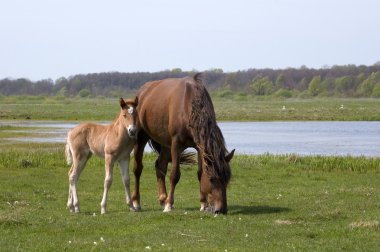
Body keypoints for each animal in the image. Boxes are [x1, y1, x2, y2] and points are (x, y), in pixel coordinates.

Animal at [134, 73, 235, 215]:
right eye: (212, 179)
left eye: (227, 179)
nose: (221, 210)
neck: (189, 106)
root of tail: (142, 91)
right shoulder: (176, 145)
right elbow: (175, 175)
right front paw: (169, 205)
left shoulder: (199, 147)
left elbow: (200, 173)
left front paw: (203, 204)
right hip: (141, 138)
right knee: (137, 169)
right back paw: (136, 203)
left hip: (166, 144)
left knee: (160, 166)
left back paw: (163, 199)